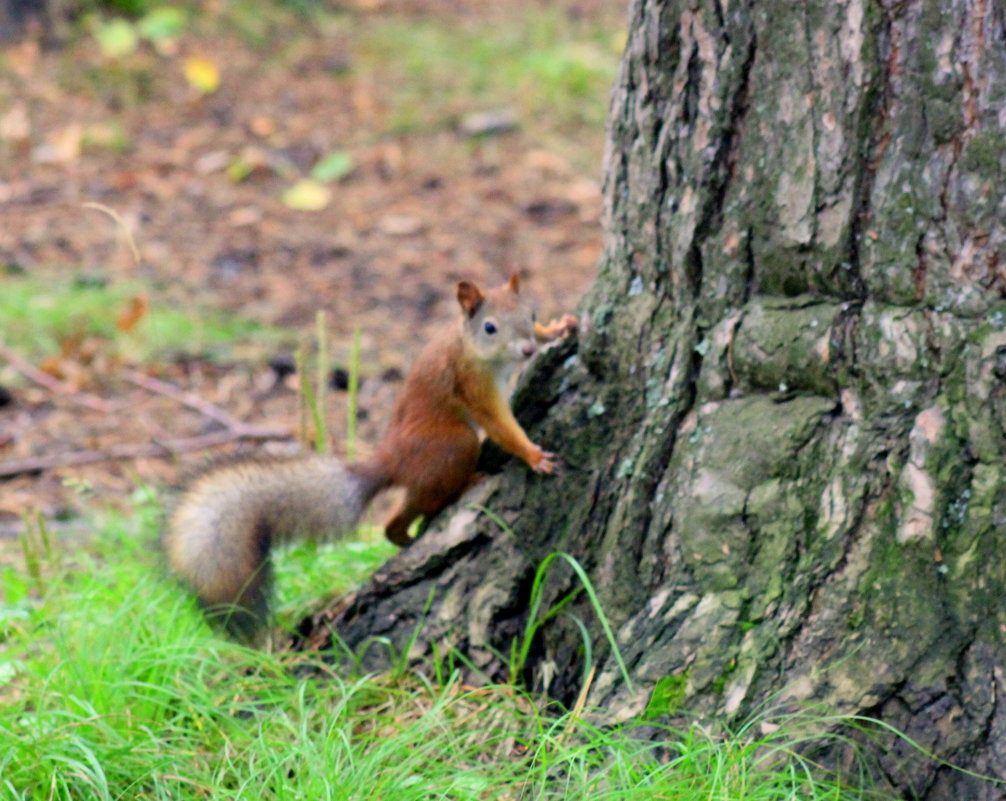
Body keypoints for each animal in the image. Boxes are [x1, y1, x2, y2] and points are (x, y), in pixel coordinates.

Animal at [162, 273, 575, 639]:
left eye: (531, 313)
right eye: (490, 327)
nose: (527, 350)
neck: (472, 346)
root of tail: (392, 460)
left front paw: (559, 328)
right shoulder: (471, 381)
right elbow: (499, 423)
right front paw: (533, 455)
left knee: (400, 517)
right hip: (455, 445)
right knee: (420, 505)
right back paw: (457, 492)